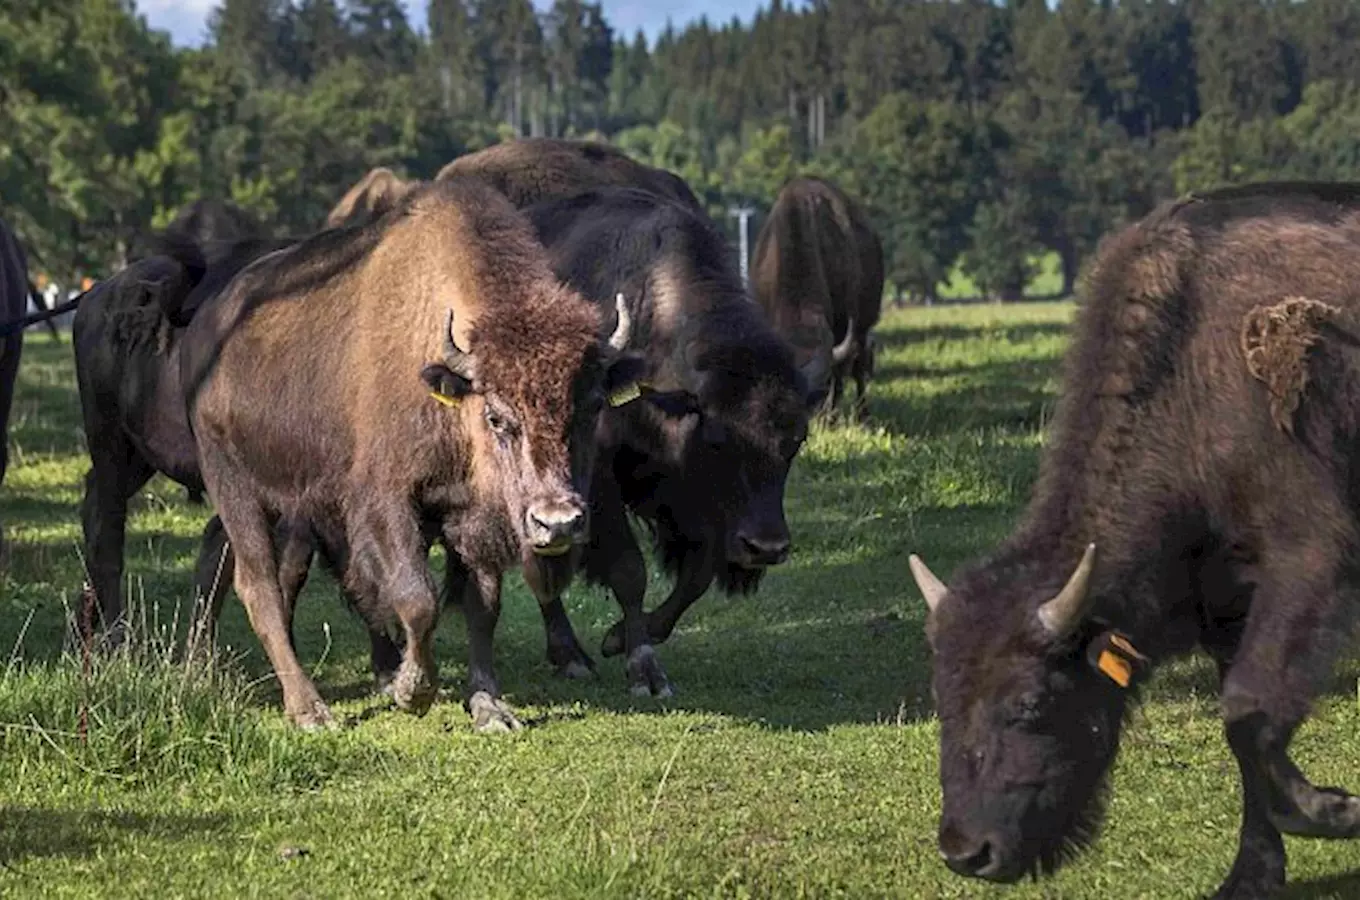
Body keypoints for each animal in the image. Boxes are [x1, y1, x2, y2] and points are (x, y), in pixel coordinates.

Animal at [183, 178, 644, 734]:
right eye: (496, 417)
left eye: (593, 406)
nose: (557, 522)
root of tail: (205, 330)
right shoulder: (387, 504)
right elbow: (416, 597)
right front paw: (413, 691)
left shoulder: (471, 518)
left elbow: (482, 605)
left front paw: (489, 707)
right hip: (234, 485)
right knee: (258, 585)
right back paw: (309, 709)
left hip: (287, 499)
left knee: (227, 554)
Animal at [750, 176, 886, 418]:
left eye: (817, 392)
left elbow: (838, 377)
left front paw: (831, 417)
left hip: (865, 324)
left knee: (860, 366)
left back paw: (862, 414)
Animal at [908, 179, 1360, 897]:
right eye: (939, 697)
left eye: (1031, 703)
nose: (966, 851)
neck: (1189, 376)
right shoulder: (1225, 606)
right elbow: (1243, 732)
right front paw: (1249, 877)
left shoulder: (1308, 563)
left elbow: (1249, 710)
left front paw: (1337, 810)